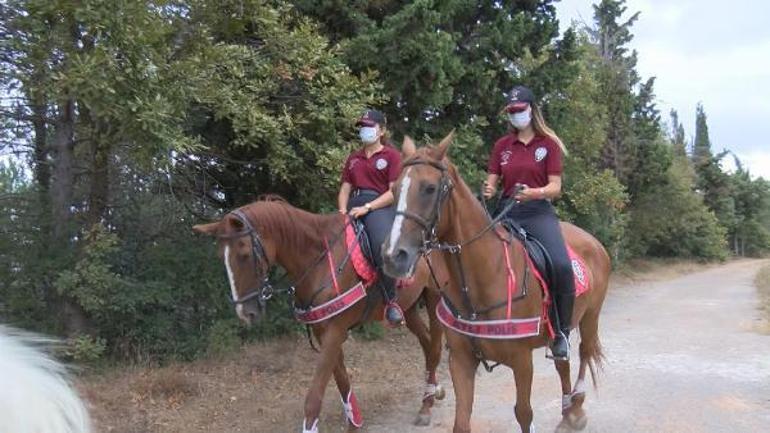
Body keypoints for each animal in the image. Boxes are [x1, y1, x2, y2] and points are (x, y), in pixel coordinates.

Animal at [190, 197, 450, 432]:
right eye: (220, 257)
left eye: (243, 253)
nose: (245, 312)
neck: (321, 258)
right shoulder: (323, 330)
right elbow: (343, 383)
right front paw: (354, 424)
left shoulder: (335, 331)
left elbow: (314, 399)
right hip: (408, 307)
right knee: (427, 344)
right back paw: (432, 393)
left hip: (434, 297)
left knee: (435, 347)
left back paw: (426, 407)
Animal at [380, 132, 608, 432]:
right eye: (395, 189)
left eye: (429, 188)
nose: (393, 255)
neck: (483, 278)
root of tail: (594, 242)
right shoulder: (461, 360)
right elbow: (461, 421)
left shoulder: (522, 362)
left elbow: (524, 414)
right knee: (563, 363)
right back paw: (568, 411)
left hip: (590, 316)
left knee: (584, 352)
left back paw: (577, 407)